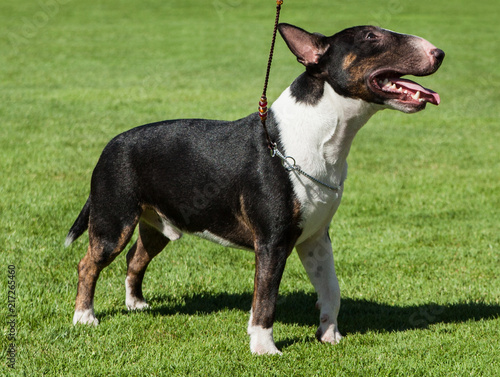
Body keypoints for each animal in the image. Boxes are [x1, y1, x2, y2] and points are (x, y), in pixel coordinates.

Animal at [66, 22, 446, 352]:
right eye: (371, 36)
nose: (439, 52)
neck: (320, 136)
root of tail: (111, 144)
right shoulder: (272, 242)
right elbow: (265, 299)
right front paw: (264, 348)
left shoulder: (316, 238)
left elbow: (331, 289)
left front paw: (330, 336)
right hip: (114, 219)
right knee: (89, 263)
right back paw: (85, 317)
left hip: (159, 222)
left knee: (136, 257)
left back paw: (136, 304)